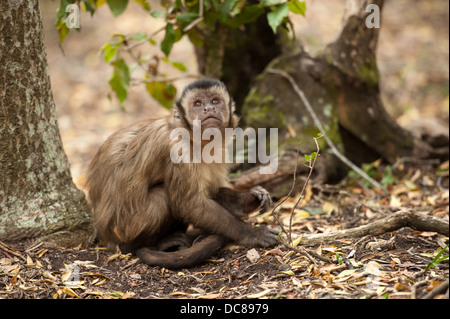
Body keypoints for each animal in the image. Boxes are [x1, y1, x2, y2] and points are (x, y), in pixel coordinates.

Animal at [85, 79, 278, 268]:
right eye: (198, 104)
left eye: (215, 101)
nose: (209, 108)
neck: (195, 139)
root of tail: (104, 235)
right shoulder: (178, 149)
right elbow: (189, 204)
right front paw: (251, 233)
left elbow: (210, 192)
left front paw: (250, 198)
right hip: (123, 230)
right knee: (162, 196)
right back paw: (143, 245)